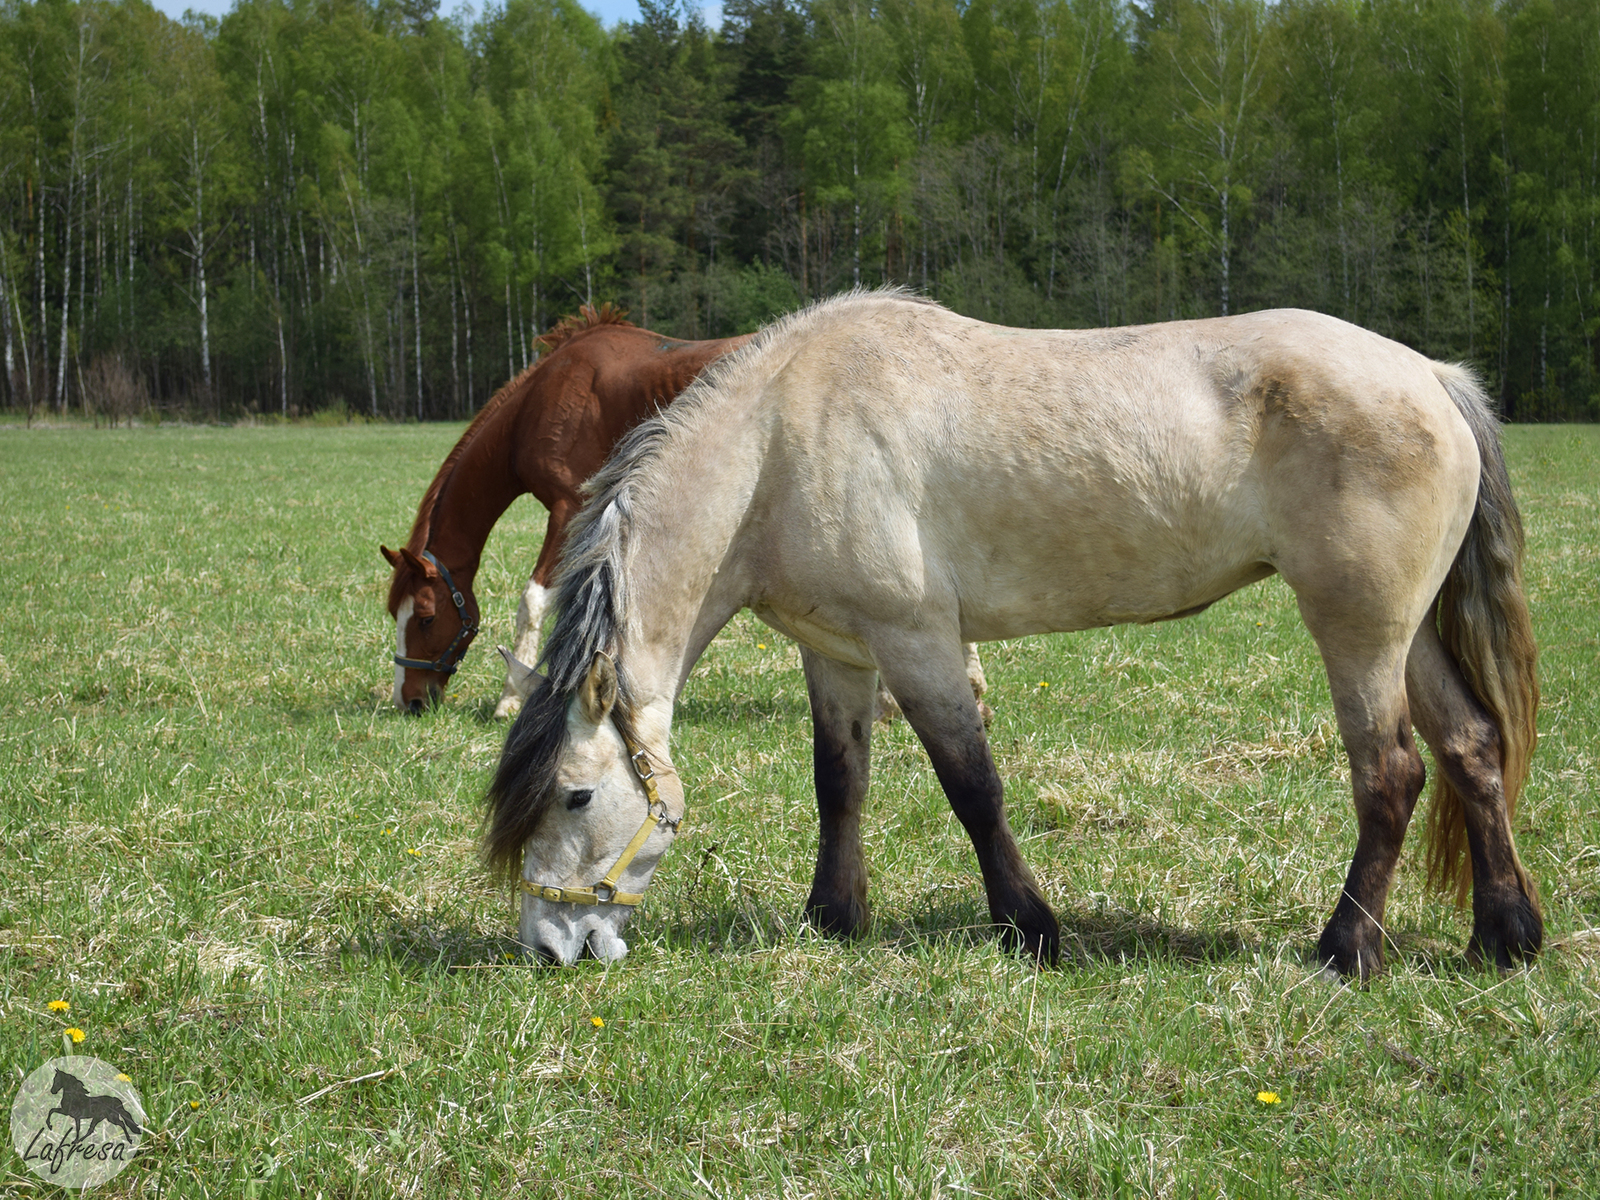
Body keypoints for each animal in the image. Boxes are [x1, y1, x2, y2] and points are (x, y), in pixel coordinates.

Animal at [380, 312, 748, 723]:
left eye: (426, 618)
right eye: (394, 612)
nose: (408, 700)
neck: (540, 401)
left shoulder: (567, 509)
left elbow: (533, 601)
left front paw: (512, 697)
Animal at [483, 294, 1536, 985]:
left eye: (576, 796)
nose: (551, 947)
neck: (778, 447)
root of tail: (1431, 376)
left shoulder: (917, 644)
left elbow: (972, 786)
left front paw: (1030, 927)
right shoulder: (837, 652)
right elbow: (840, 783)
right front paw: (834, 917)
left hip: (1358, 628)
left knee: (1390, 773)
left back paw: (1346, 950)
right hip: (1406, 632)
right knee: (1470, 747)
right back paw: (1505, 937)